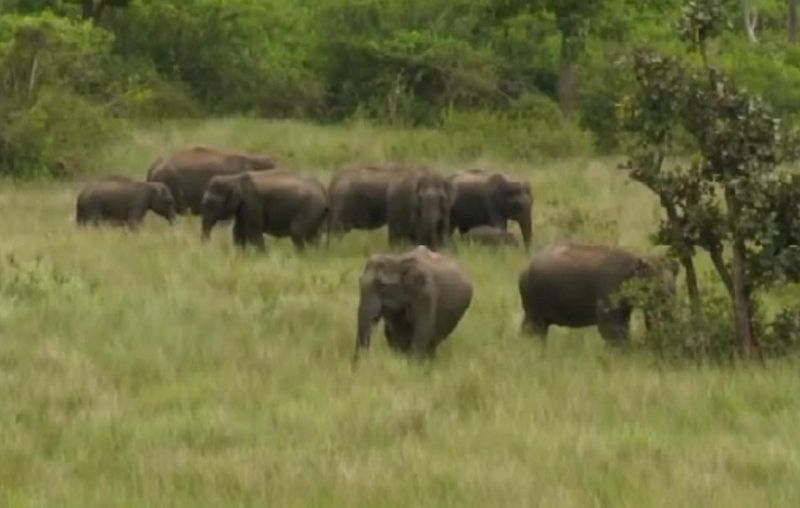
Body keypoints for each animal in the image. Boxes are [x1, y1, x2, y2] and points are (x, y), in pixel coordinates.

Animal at [202, 171, 330, 250]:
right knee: (313, 238)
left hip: (310, 210)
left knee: (297, 233)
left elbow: (253, 232)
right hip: (317, 215)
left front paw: (261, 256)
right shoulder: (243, 208)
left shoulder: (252, 202)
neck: (234, 179)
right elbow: (238, 231)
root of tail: (323, 191)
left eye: (211, 204)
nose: (207, 246)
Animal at [516, 241, 680, 342]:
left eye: (674, 289)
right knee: (535, 327)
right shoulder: (610, 287)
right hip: (534, 297)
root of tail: (524, 269)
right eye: (657, 288)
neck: (637, 258)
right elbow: (610, 326)